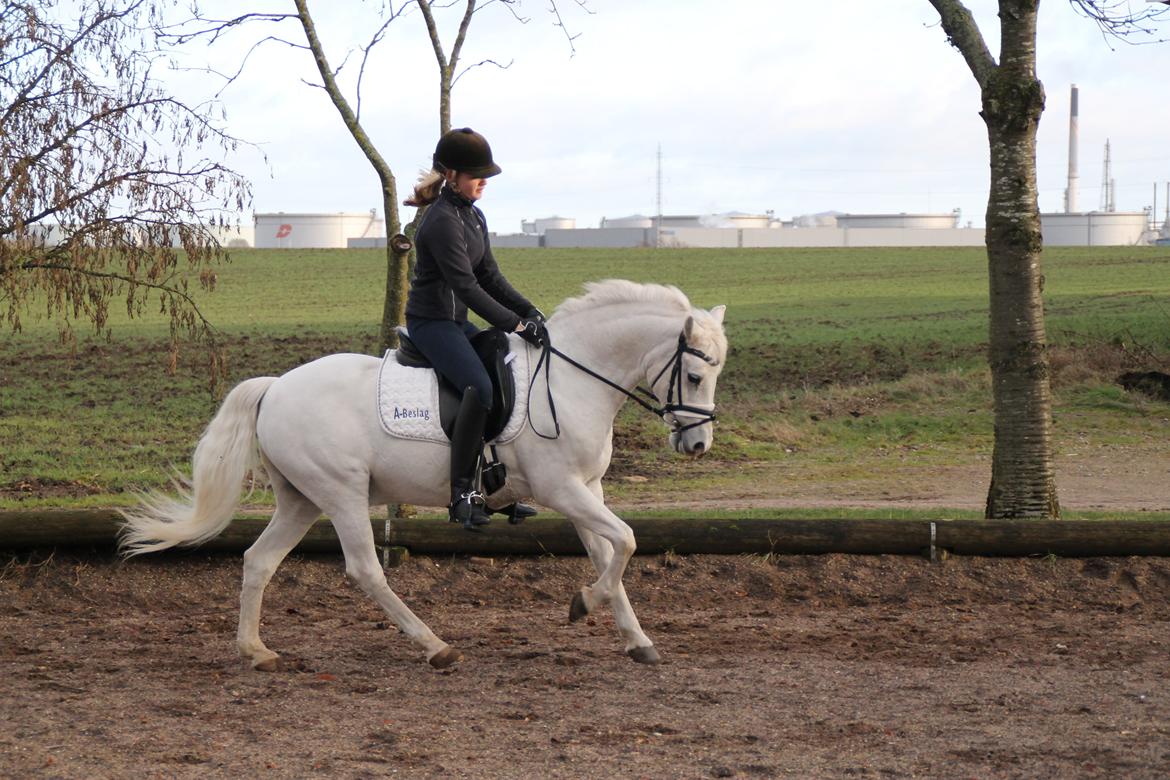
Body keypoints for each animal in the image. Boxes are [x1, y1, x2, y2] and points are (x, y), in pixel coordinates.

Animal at [119, 279, 728, 671]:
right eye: (696, 375)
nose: (697, 445)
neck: (572, 379)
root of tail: (275, 387)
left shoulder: (588, 489)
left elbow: (611, 555)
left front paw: (635, 639)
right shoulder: (562, 489)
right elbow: (626, 541)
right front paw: (584, 605)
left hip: (301, 500)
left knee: (259, 561)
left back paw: (256, 652)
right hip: (341, 493)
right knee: (365, 570)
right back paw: (436, 647)